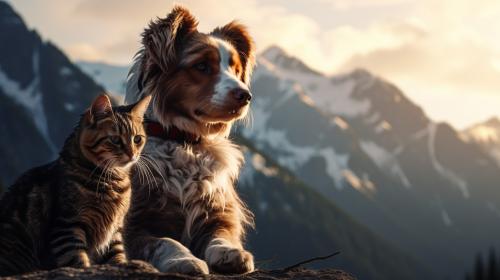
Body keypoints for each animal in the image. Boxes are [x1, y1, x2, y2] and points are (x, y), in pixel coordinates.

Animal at [0, 94, 152, 276]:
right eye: (115, 139)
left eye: (137, 139)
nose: (132, 154)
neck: (113, 181)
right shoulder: (67, 227)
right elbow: (78, 263)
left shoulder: (114, 233)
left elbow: (117, 257)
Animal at [123, 5, 256, 274]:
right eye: (202, 66)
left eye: (235, 69)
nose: (245, 95)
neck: (185, 142)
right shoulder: (134, 224)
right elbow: (165, 241)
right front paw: (184, 260)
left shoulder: (219, 210)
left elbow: (222, 234)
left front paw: (231, 252)